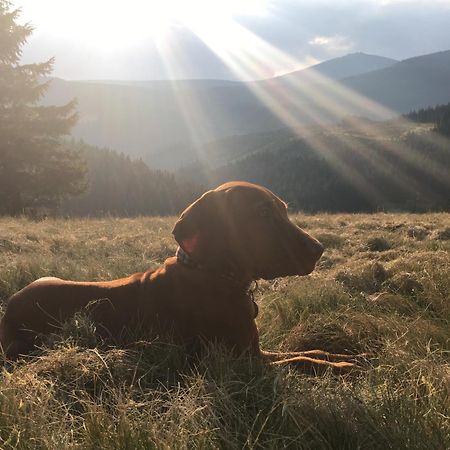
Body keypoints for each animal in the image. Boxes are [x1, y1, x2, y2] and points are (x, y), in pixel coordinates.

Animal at [0, 182, 358, 372]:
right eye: (262, 212)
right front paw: (346, 368)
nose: (319, 249)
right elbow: (303, 359)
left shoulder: (255, 349)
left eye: (283, 209)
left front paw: (349, 355)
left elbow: (312, 352)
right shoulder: (244, 361)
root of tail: (8, 311)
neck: (215, 275)